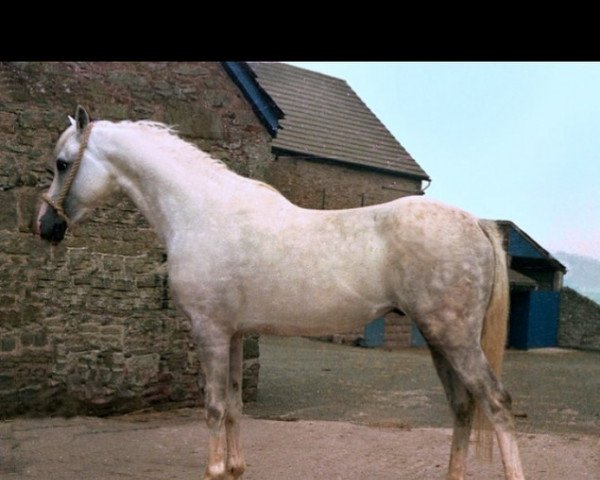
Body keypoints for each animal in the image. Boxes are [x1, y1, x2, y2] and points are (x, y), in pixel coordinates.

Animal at [38, 108, 524, 480]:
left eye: (62, 163)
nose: (46, 226)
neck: (201, 211)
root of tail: (476, 222)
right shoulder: (234, 335)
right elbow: (235, 406)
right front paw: (235, 468)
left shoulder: (210, 333)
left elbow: (214, 407)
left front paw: (215, 470)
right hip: (441, 340)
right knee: (463, 407)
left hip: (454, 338)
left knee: (496, 404)